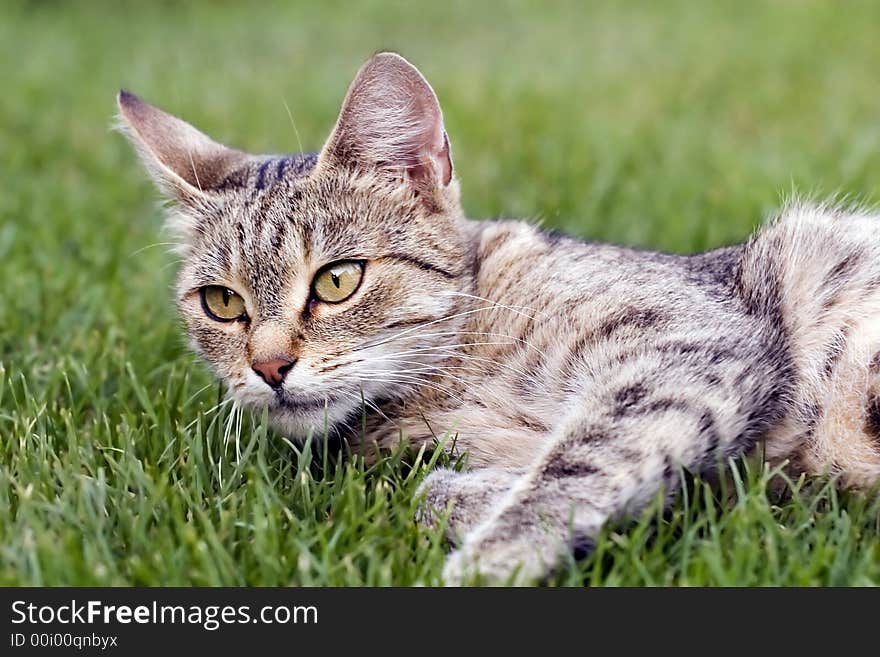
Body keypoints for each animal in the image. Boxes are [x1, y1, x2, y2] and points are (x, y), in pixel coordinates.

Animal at [115, 52, 880, 584]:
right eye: (222, 303)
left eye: (337, 280)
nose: (269, 366)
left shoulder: (691, 347)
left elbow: (579, 463)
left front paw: (488, 558)